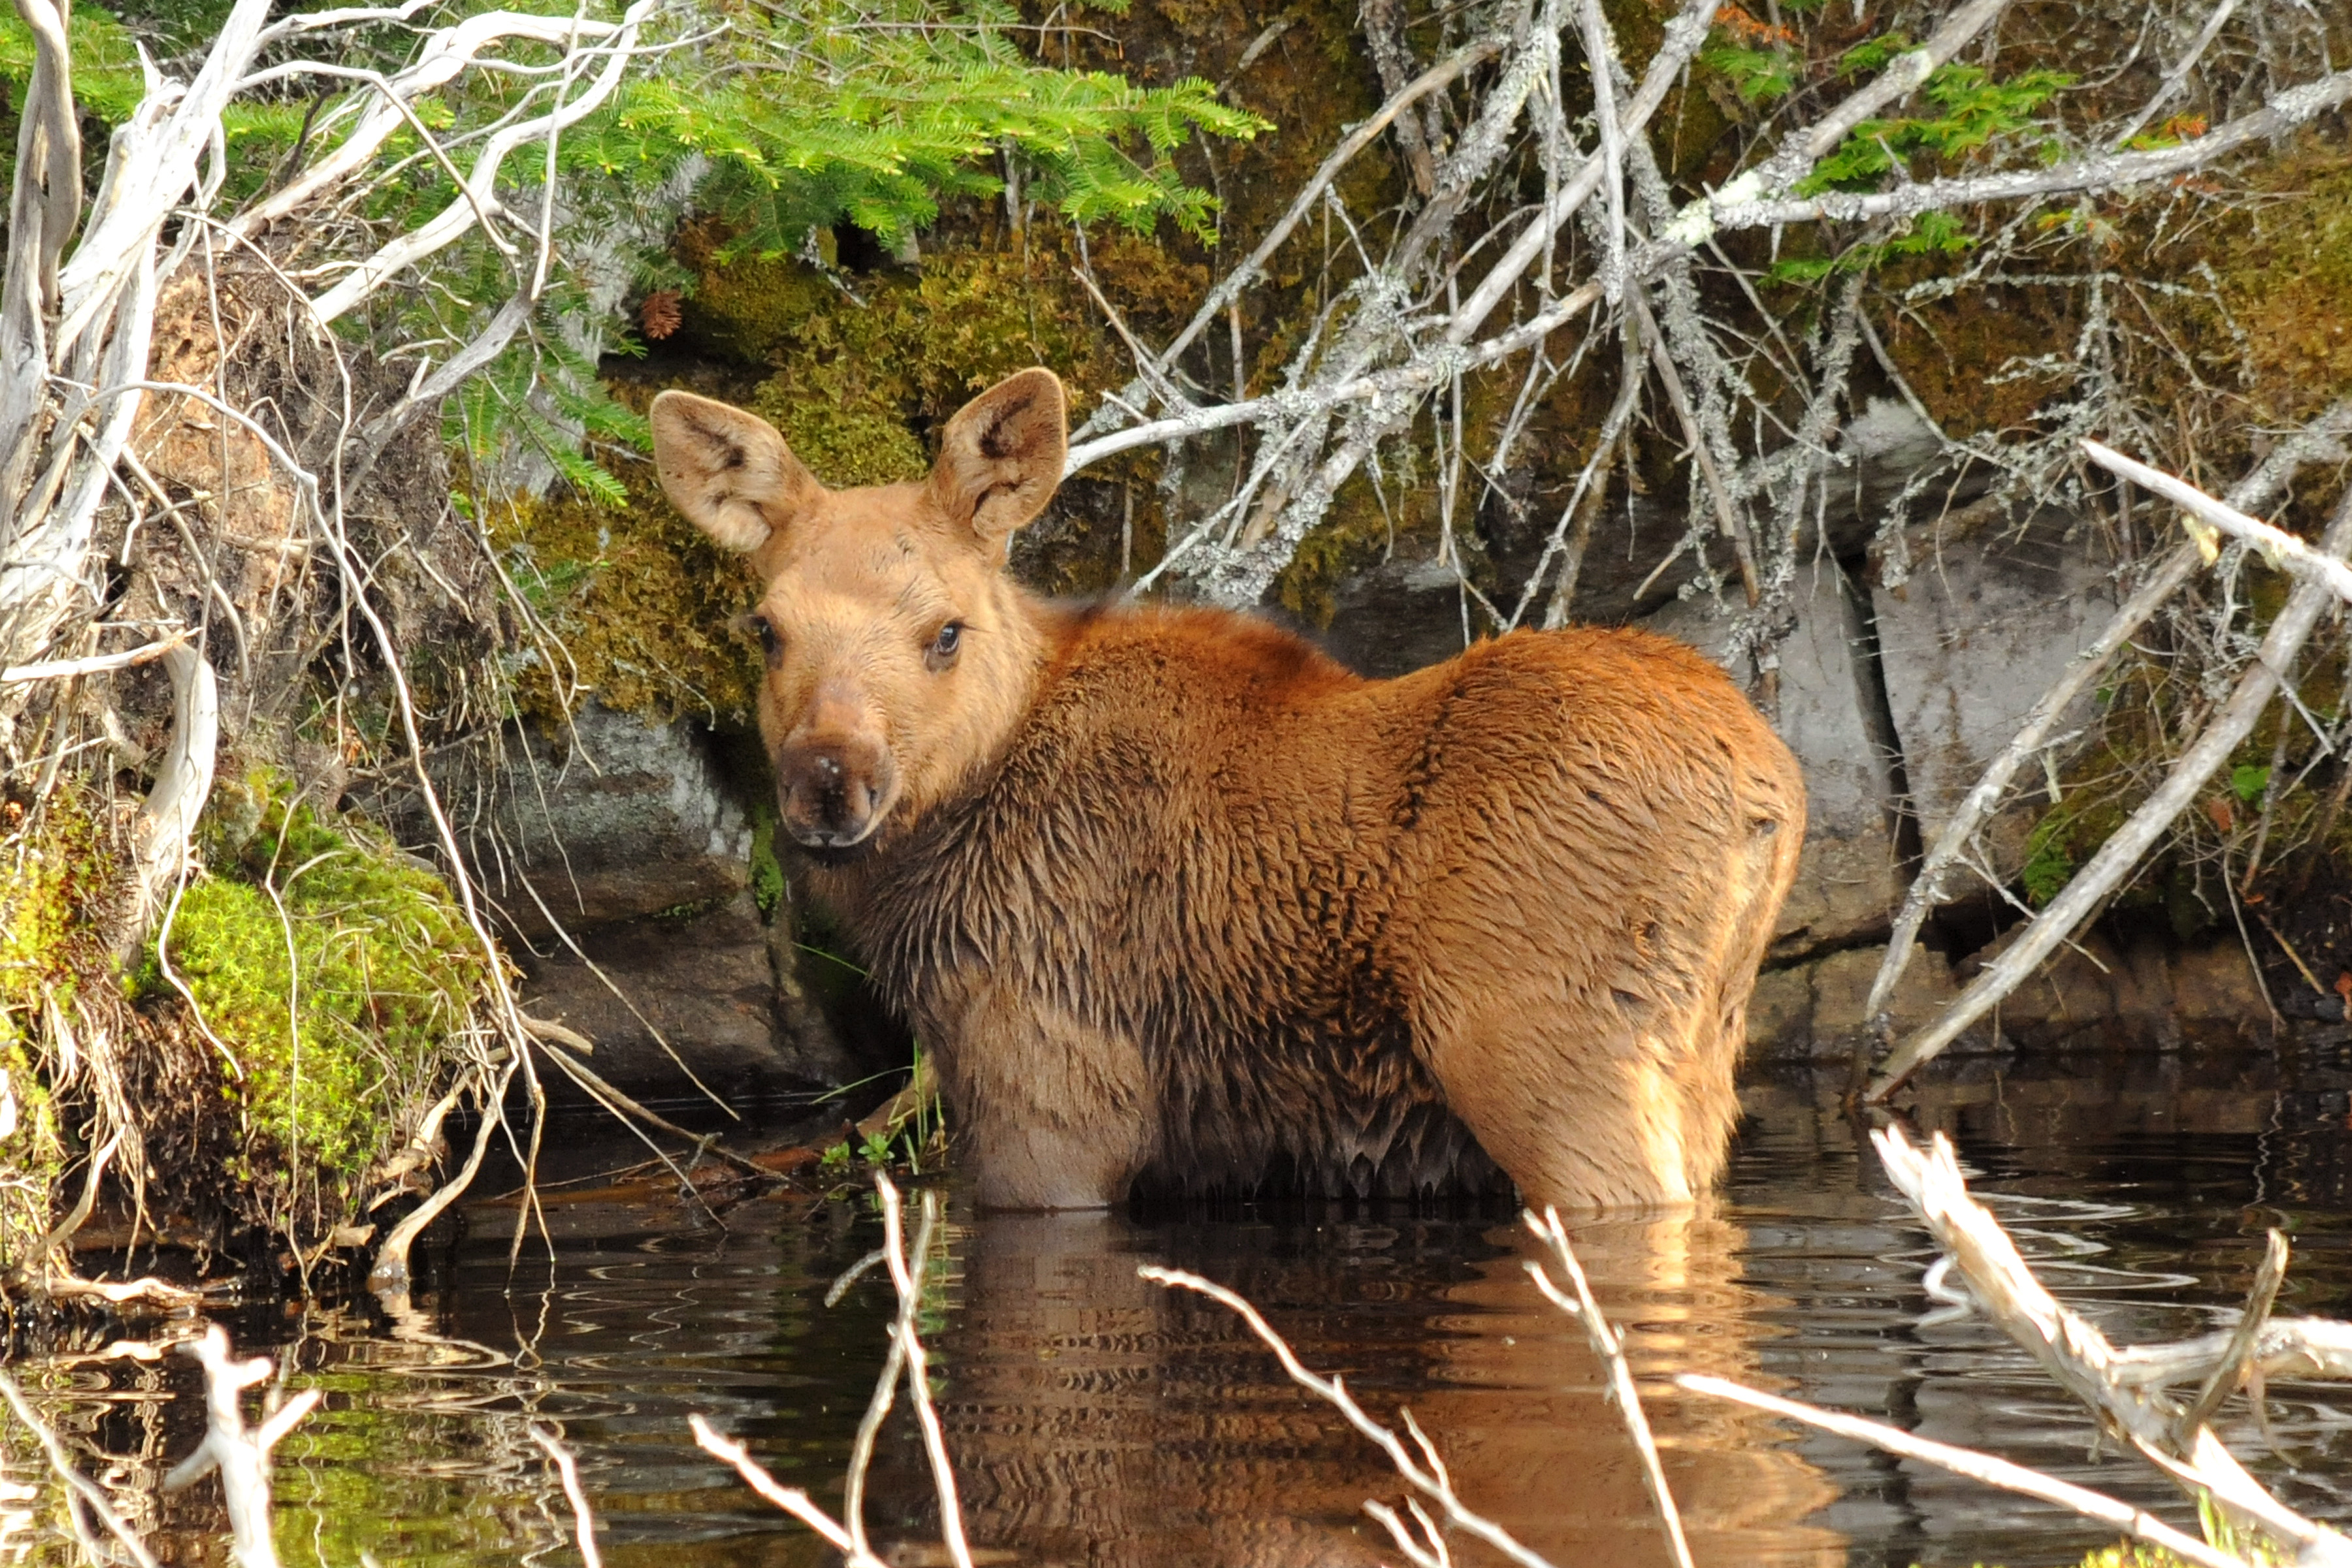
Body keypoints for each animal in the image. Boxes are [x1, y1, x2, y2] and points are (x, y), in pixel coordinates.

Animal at [649, 367, 1805, 1212]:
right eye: (767, 629)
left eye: (945, 631)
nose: (828, 784)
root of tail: (1774, 798)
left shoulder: (1052, 1089)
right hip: (1700, 1062)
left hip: (1549, 1054)